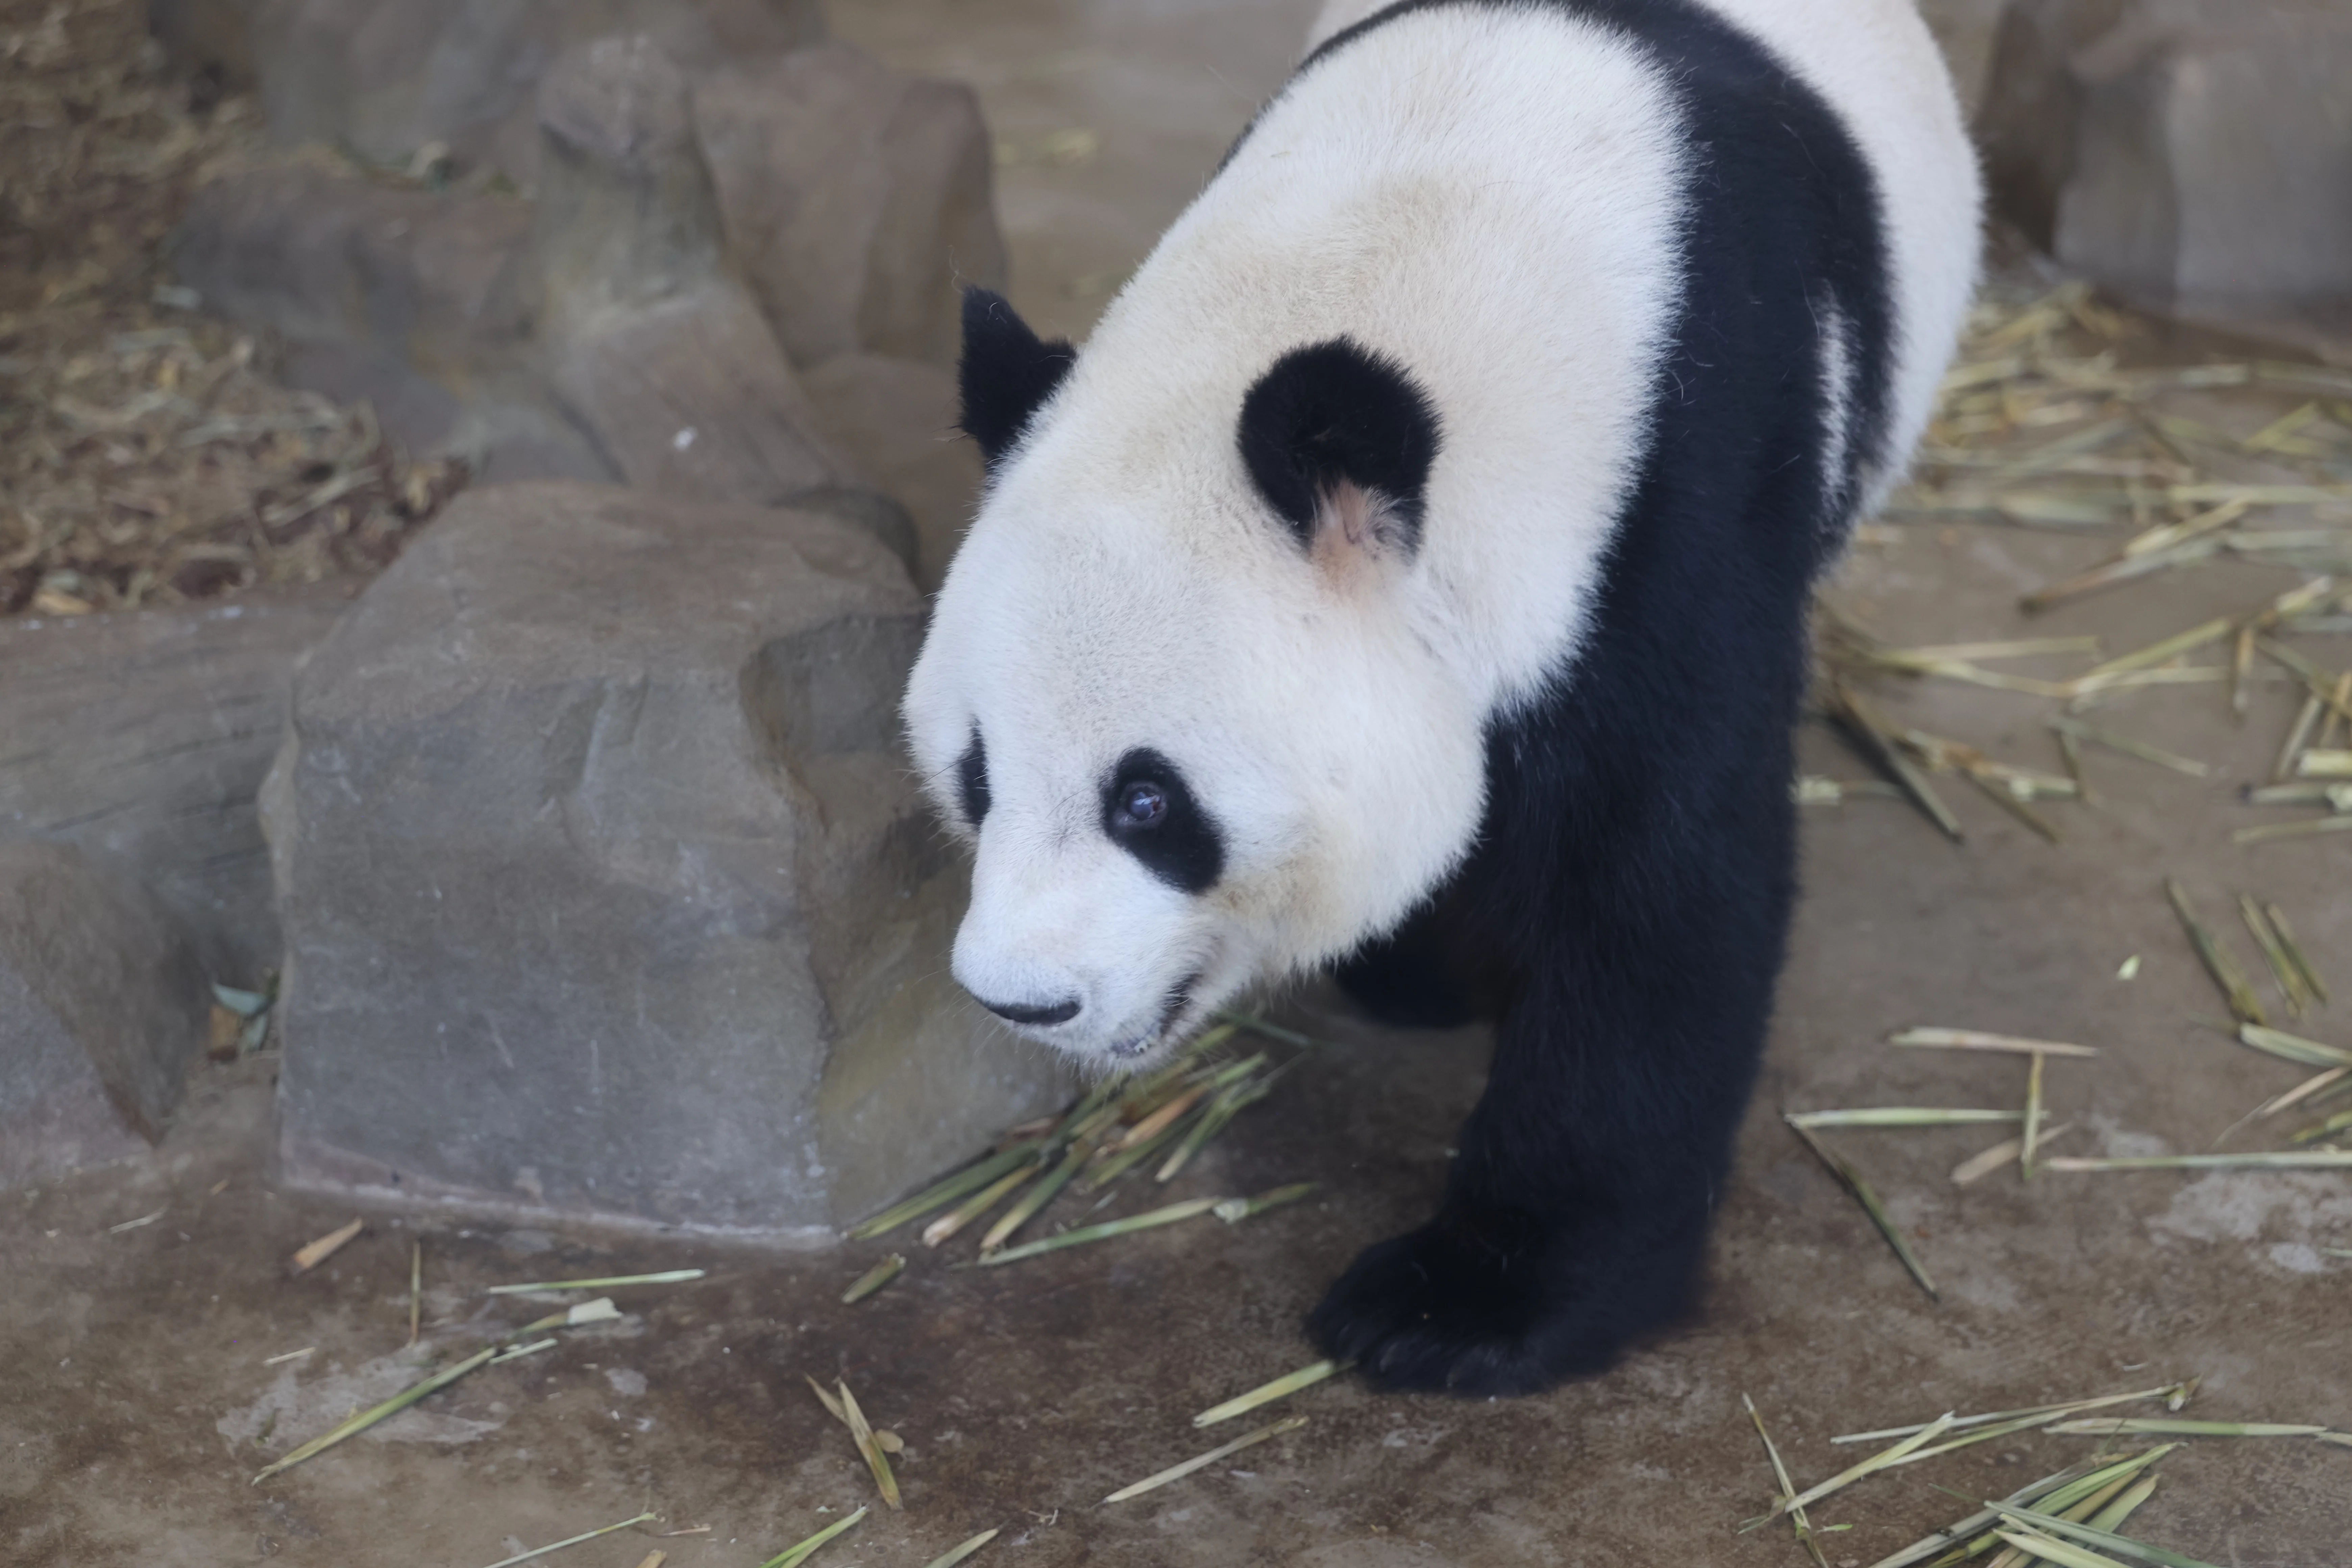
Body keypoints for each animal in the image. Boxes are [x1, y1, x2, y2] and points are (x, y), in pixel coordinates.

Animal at [903, 0, 1979, 1395]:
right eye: (977, 777)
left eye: (1147, 801)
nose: (1022, 998)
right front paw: (1414, 962)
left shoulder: (1675, 499)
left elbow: (1658, 887)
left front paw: (1463, 1303)